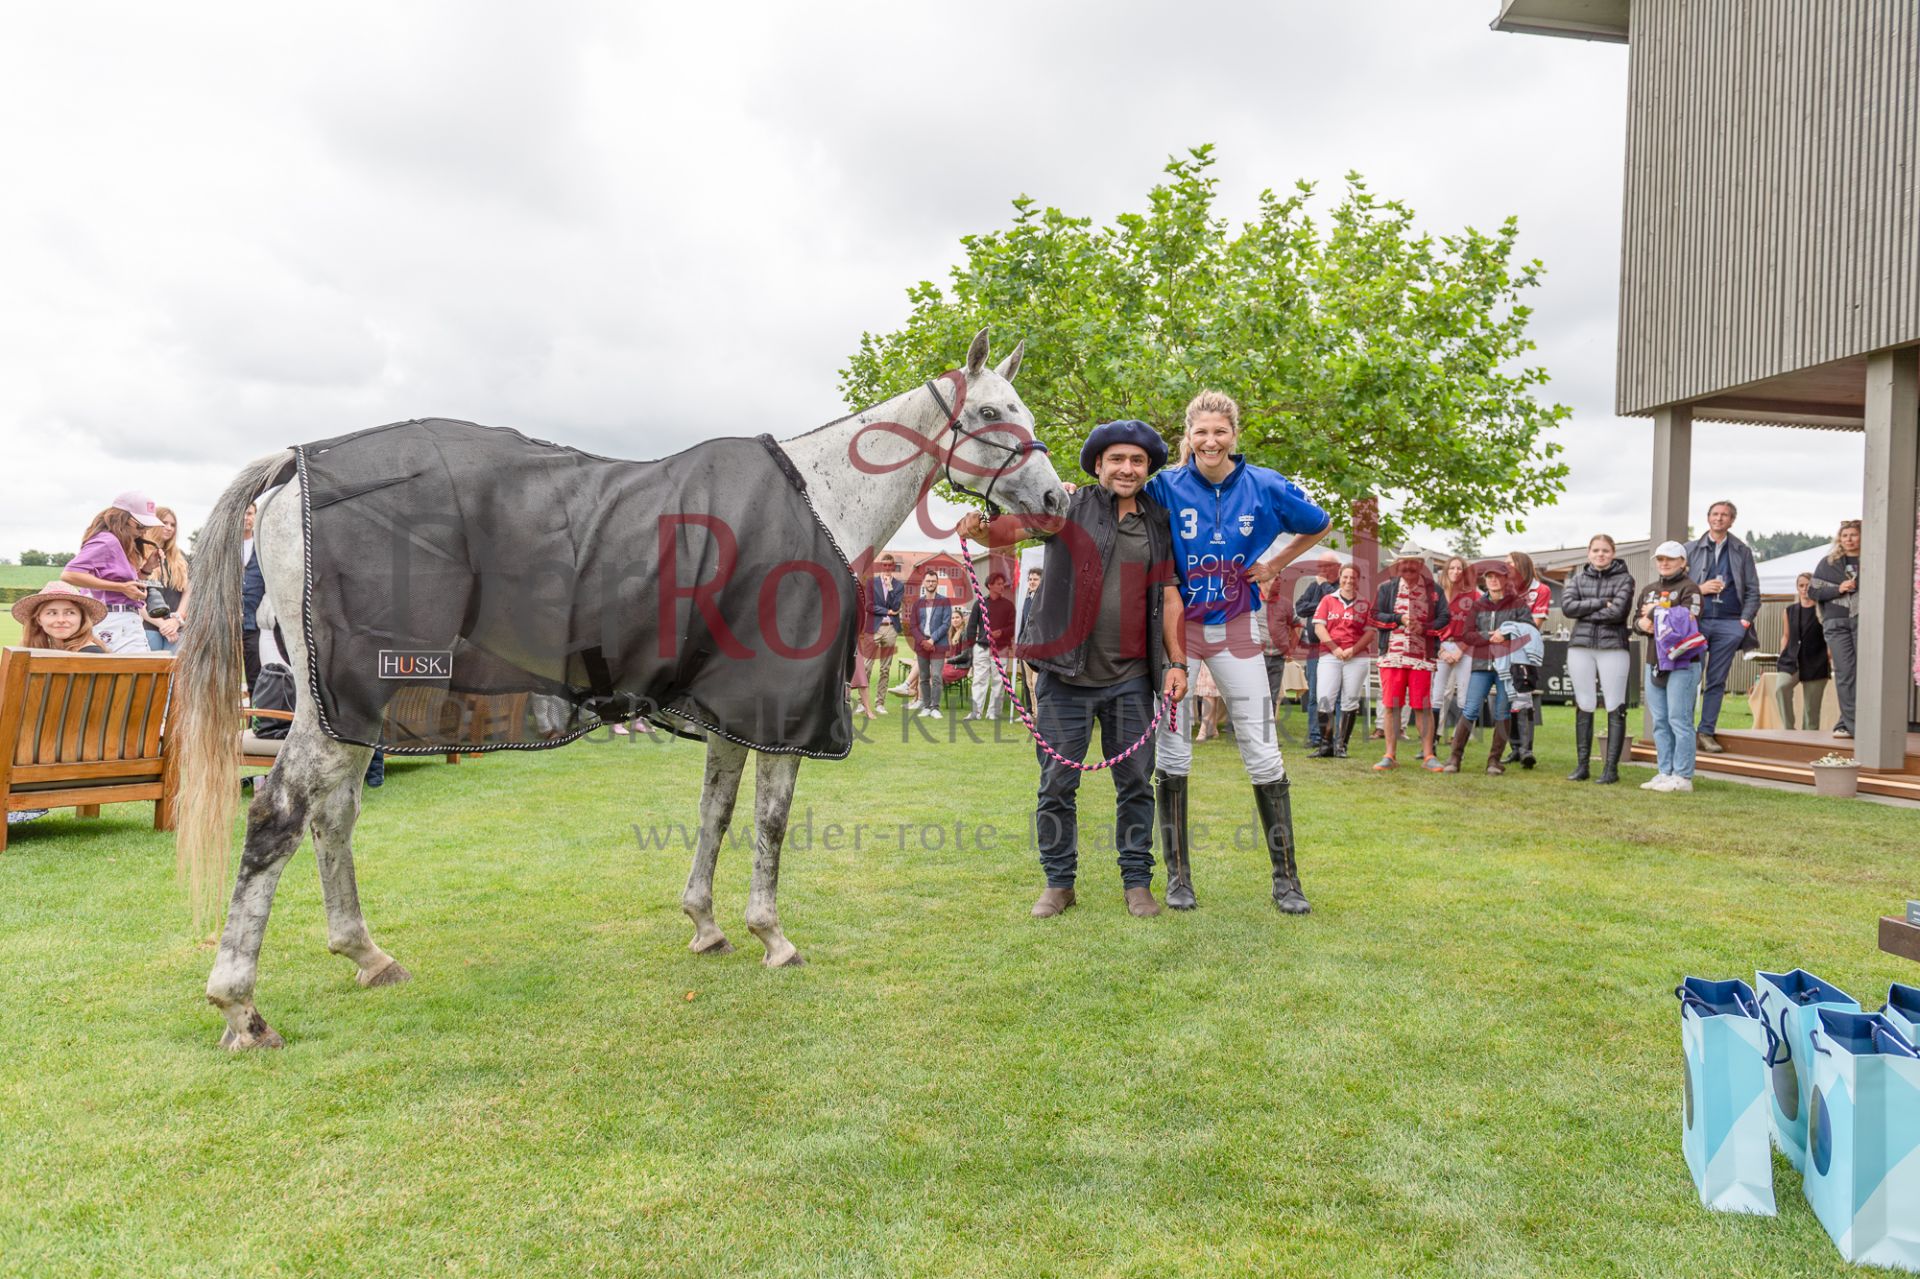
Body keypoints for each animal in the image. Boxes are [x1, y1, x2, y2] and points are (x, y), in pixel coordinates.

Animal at [170, 329, 1067, 1049]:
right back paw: (241, 1006)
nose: (1056, 497)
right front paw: (772, 934)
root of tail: (297, 464)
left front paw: (705, 923)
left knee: (333, 816)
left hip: (354, 706)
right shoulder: (783, 711)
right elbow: (771, 823)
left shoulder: (731, 713)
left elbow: (716, 811)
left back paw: (365, 953)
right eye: (994, 412)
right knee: (277, 812)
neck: (818, 502)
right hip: (345, 703)